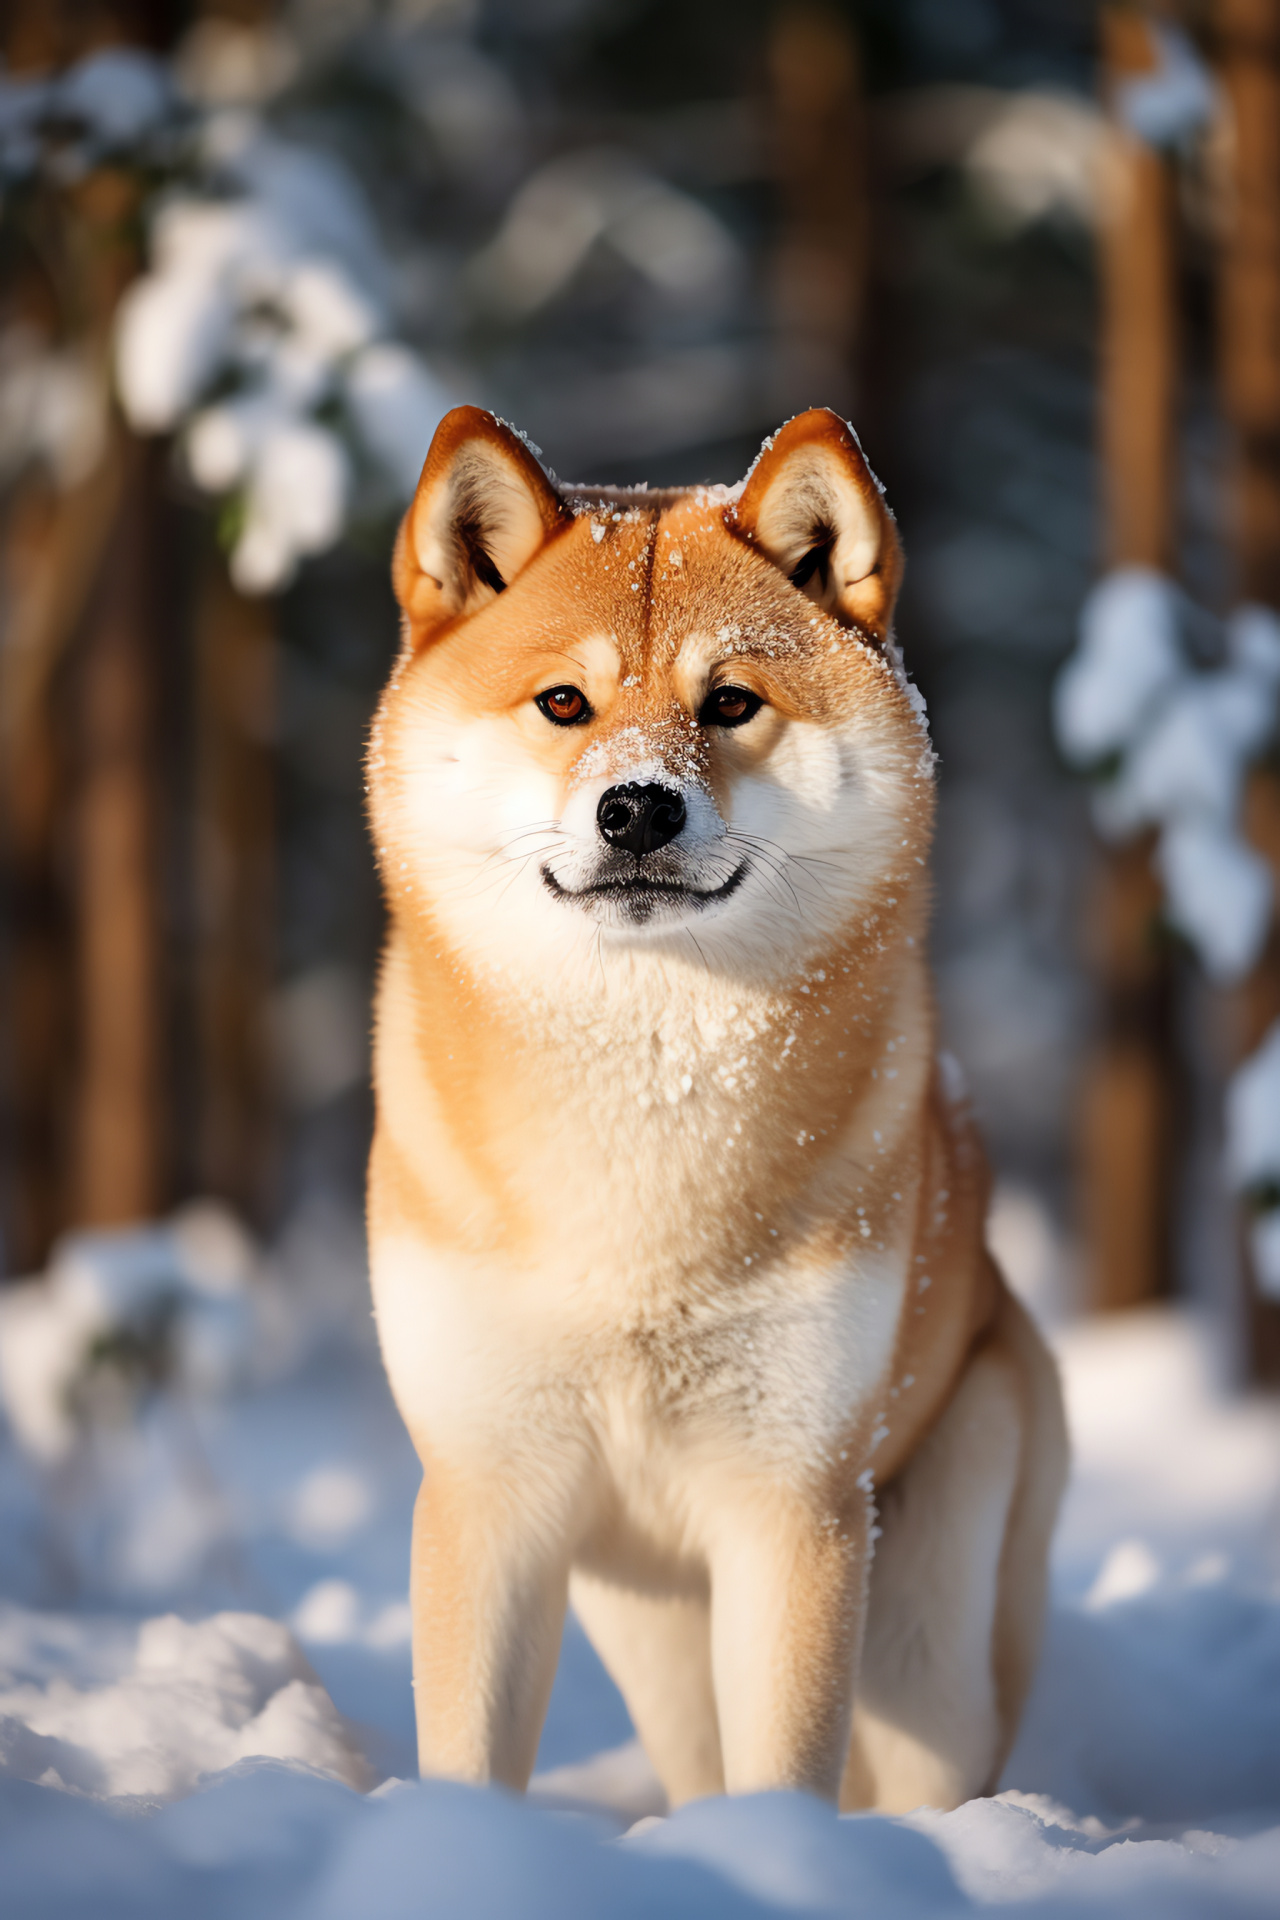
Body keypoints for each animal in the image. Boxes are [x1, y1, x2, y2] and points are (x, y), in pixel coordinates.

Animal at [364, 405, 1066, 1812]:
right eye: (564, 703)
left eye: (730, 702)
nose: (637, 805)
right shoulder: (489, 1491)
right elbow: (469, 1752)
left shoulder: (790, 1503)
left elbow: (785, 1772)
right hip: (645, 1619)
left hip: (933, 1633)